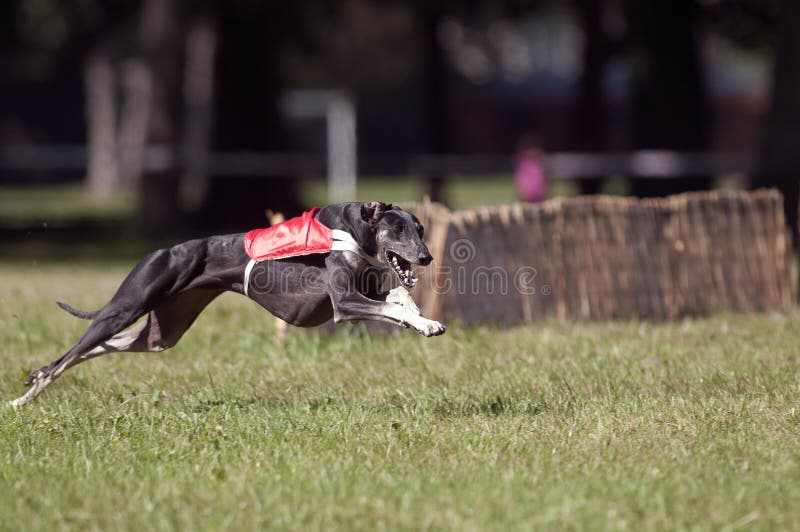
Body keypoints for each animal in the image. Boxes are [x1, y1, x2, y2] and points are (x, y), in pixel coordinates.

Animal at [10, 201, 444, 408]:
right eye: (397, 228)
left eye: (421, 229)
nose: (425, 257)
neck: (353, 229)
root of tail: (161, 251)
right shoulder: (344, 303)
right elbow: (389, 306)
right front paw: (427, 324)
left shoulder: (365, 292)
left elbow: (396, 298)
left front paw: (418, 315)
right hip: (126, 306)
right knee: (67, 356)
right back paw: (23, 396)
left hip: (162, 332)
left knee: (99, 347)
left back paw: (32, 382)